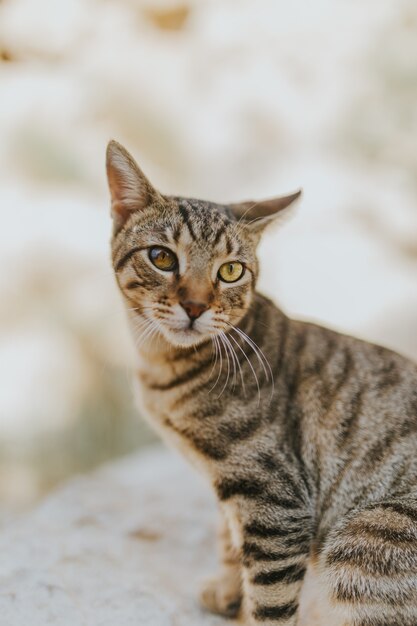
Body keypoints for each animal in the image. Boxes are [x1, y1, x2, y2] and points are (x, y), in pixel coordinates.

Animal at [105, 140, 416, 624]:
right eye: (162, 257)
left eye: (230, 271)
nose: (195, 306)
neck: (162, 364)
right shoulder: (234, 490)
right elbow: (229, 541)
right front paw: (228, 593)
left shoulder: (274, 500)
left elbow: (268, 599)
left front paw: (244, 607)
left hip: (368, 537)